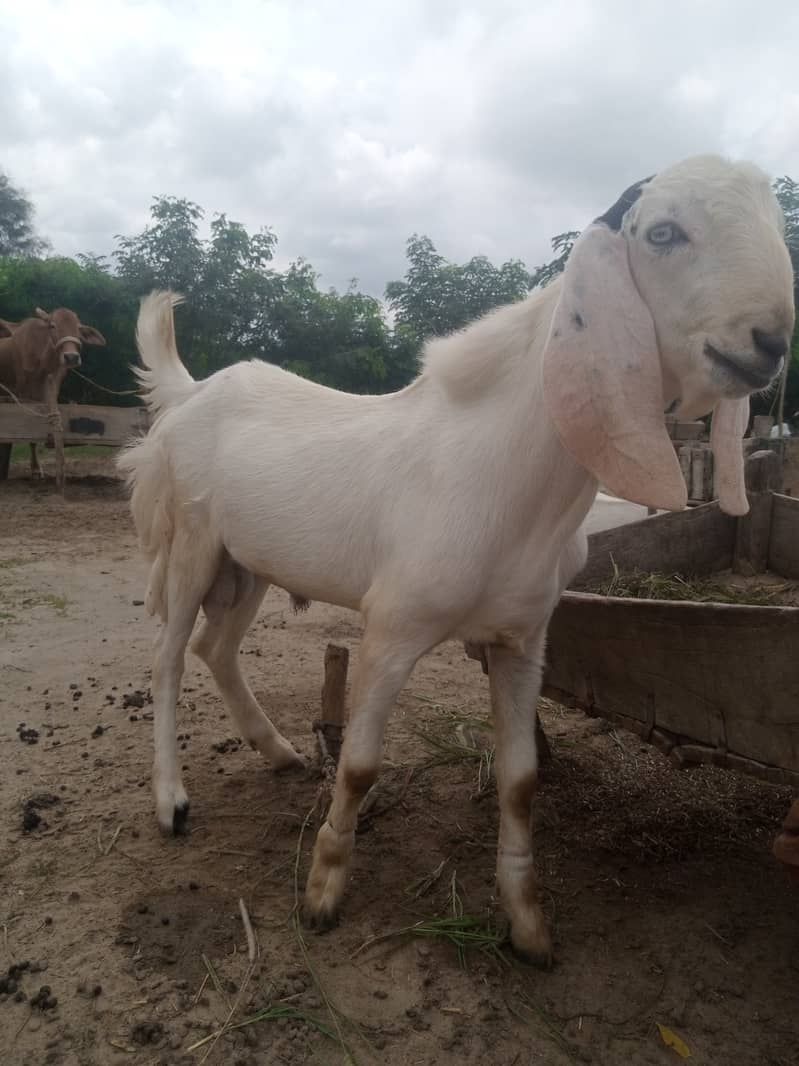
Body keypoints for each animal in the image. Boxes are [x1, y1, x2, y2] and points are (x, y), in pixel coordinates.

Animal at [0, 307, 106, 477]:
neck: (43, 363)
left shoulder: (50, 392)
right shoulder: (23, 395)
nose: (71, 357)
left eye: (78, 328)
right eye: (52, 326)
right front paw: (35, 468)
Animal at [117, 155, 796, 967]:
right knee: (166, 659)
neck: (500, 477)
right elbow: (361, 766)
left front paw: (528, 925)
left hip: (246, 563)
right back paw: (171, 804)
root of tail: (192, 390)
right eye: (662, 233)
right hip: (189, 545)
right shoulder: (391, 627)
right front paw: (322, 895)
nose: (768, 342)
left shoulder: (523, 639)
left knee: (214, 649)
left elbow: (521, 780)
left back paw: (278, 752)